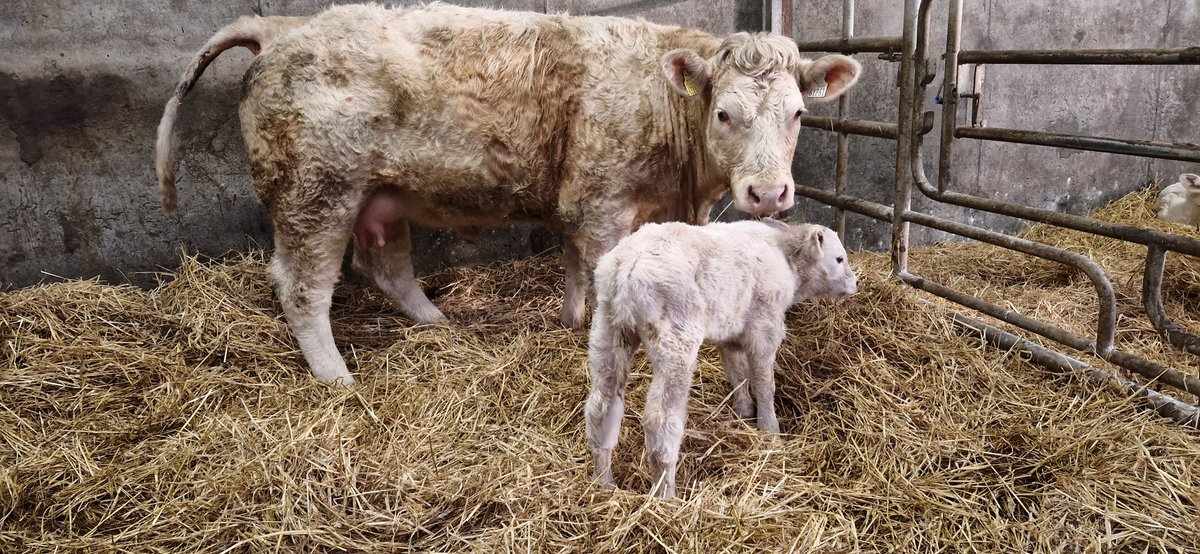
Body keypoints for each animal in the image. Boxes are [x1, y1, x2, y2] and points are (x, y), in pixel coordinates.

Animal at [155, 3, 862, 385]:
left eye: (799, 113)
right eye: (724, 113)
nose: (767, 193)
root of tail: (281, 27)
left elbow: (576, 268)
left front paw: (571, 319)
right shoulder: (603, 205)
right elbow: (600, 271)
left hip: (378, 197)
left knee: (387, 268)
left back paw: (440, 324)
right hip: (316, 194)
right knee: (302, 287)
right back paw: (338, 378)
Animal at [584, 219, 858, 498]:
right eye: (839, 258)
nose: (855, 282)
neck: (785, 256)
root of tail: (628, 266)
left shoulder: (732, 333)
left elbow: (737, 374)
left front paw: (744, 412)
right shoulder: (764, 326)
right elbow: (764, 383)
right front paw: (770, 429)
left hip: (607, 329)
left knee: (601, 407)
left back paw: (604, 484)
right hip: (675, 341)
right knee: (660, 420)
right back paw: (666, 496)